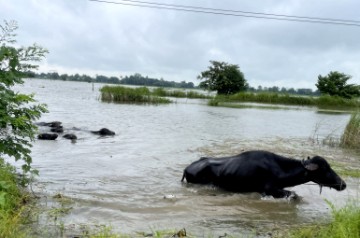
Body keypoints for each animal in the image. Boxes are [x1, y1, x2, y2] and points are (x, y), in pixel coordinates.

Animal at [181, 151, 348, 199]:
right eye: (325, 168)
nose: (343, 184)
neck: (280, 169)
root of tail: (187, 168)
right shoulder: (269, 190)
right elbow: (293, 195)